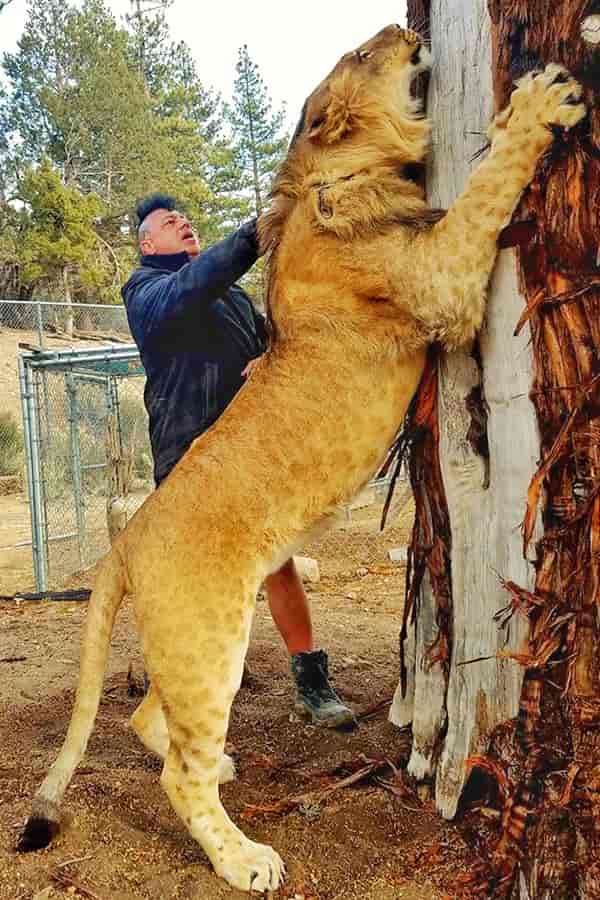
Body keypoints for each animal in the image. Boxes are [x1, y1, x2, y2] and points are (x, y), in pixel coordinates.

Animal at [19, 24, 584, 896]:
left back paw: (220, 768)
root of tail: (124, 540)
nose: (404, 29)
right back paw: (244, 857)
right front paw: (542, 100)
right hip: (208, 636)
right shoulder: (444, 286)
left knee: (152, 718)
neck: (342, 171)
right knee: (176, 771)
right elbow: (487, 186)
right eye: (361, 55)